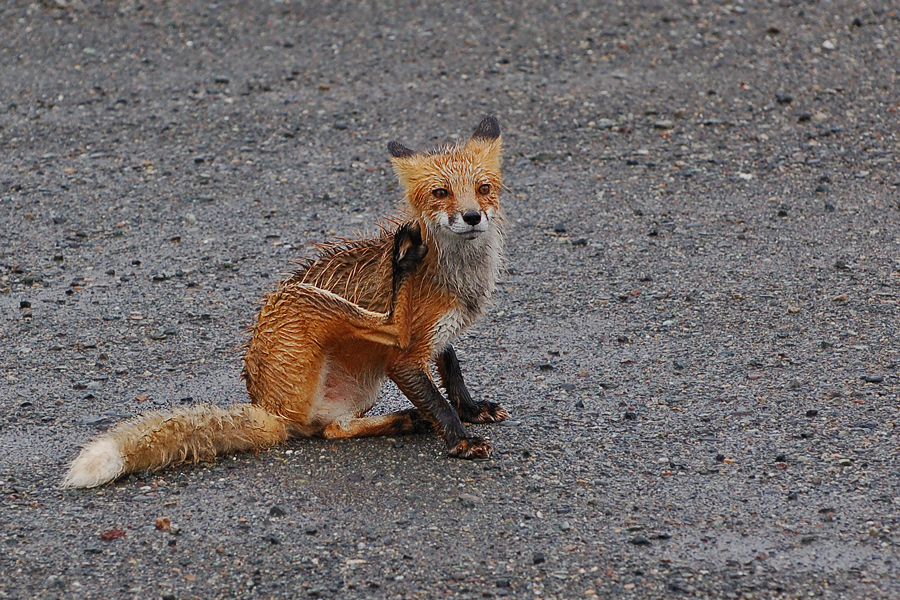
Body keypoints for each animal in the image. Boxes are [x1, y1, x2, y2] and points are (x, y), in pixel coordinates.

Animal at [64, 116, 510, 488]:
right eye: (441, 193)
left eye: (483, 189)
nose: (472, 217)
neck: (455, 276)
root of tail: (269, 409)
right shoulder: (406, 358)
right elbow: (437, 399)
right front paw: (461, 439)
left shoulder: (440, 334)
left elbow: (452, 372)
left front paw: (471, 409)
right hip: (306, 299)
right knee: (390, 327)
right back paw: (401, 262)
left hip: (356, 390)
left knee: (332, 430)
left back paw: (405, 419)